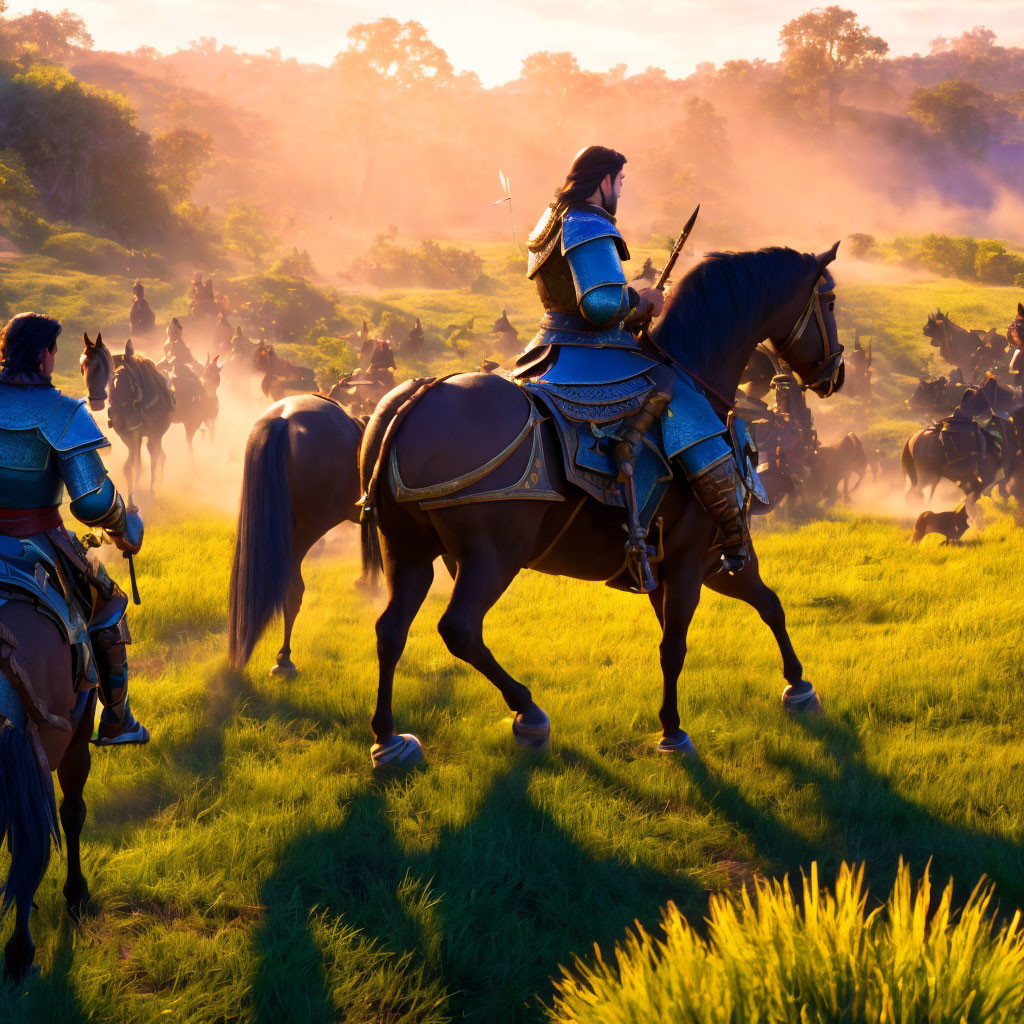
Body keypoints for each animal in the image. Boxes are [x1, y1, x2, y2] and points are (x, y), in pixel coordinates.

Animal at [356, 243, 843, 765]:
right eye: (829, 301)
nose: (836, 375)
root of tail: (420, 393)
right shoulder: (694, 560)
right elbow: (675, 645)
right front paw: (673, 731)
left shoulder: (697, 562)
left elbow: (766, 604)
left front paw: (799, 686)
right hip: (492, 557)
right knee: (460, 629)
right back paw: (528, 712)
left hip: (407, 549)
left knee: (390, 631)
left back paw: (388, 739)